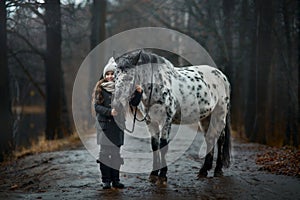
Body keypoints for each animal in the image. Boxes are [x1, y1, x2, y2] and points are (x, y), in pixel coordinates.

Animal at [111, 49, 231, 184]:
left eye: (130, 77)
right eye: (115, 76)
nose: (116, 104)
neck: (157, 86)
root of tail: (221, 75)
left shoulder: (166, 120)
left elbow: (163, 145)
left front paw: (162, 176)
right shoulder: (151, 121)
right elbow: (155, 145)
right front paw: (153, 174)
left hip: (220, 115)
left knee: (220, 139)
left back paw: (218, 170)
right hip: (205, 118)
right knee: (210, 138)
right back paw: (204, 170)